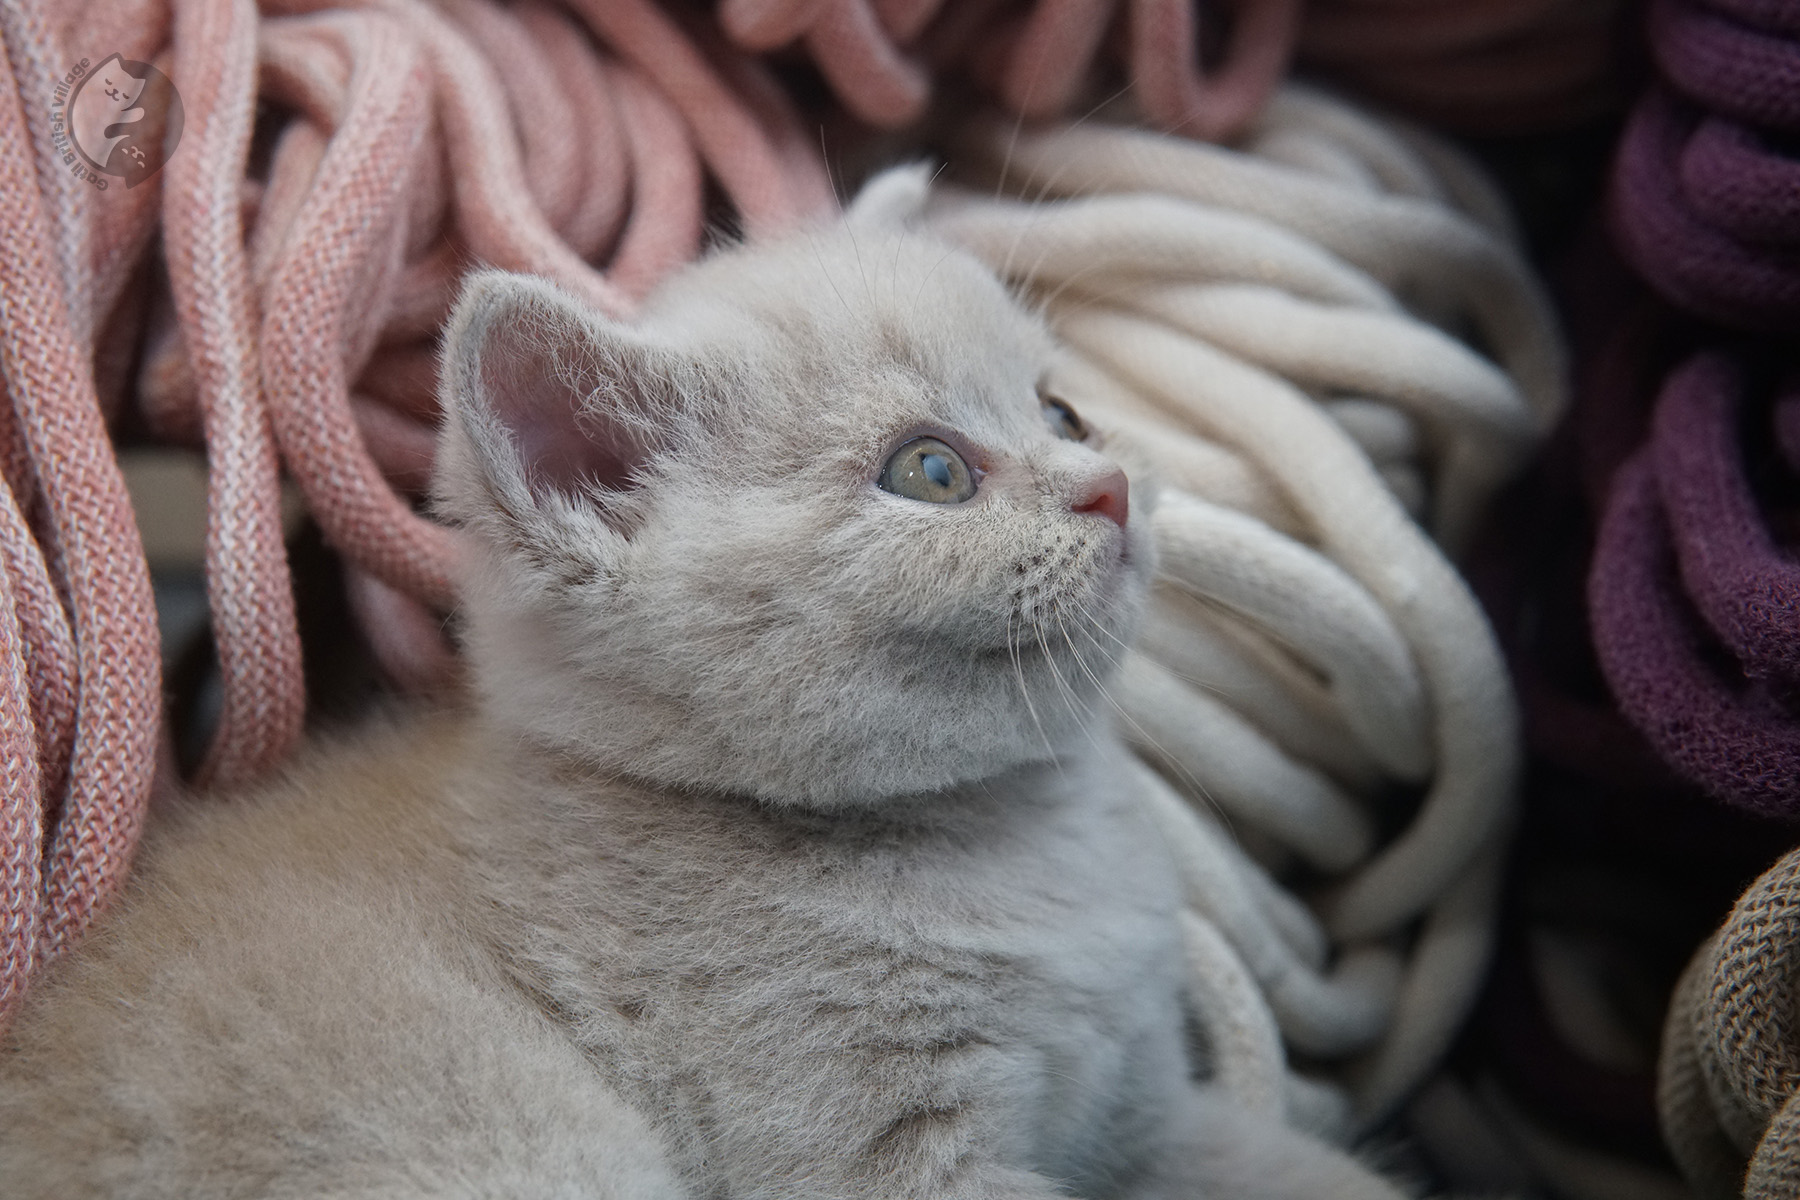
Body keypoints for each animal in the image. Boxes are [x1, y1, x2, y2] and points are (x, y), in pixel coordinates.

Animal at [0, 169, 1404, 1200]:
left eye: (1062, 412)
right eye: (931, 471)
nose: (1108, 487)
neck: (1012, 849)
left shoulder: (1143, 1108)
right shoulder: (877, 1157)